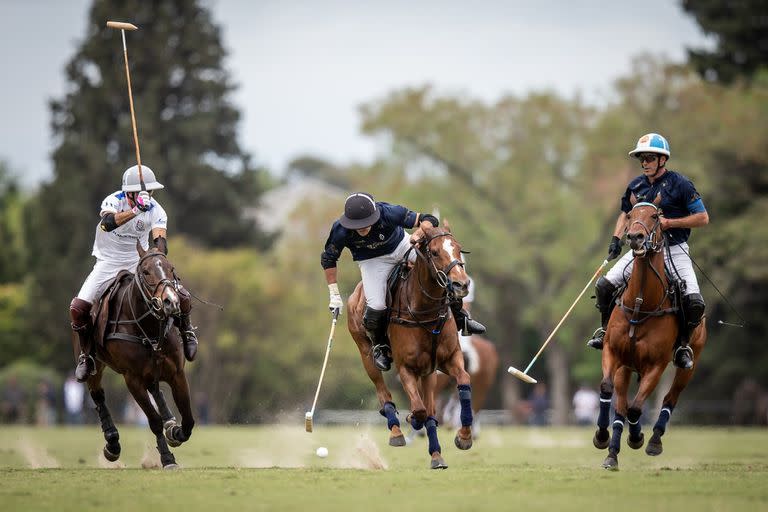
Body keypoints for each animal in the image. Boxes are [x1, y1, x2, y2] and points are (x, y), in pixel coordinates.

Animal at [76, 244, 195, 468]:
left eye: (170, 268)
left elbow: (188, 418)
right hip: (94, 362)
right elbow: (154, 421)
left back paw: (169, 421)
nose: (171, 302)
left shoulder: (177, 373)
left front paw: (174, 432)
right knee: (98, 395)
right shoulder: (132, 379)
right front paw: (167, 459)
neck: (149, 328)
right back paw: (112, 444)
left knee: (156, 390)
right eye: (146, 271)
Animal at [348, 226, 474, 470]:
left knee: (431, 409)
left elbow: (463, 382)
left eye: (457, 248)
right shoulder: (406, 368)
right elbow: (419, 409)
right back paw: (396, 430)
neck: (426, 311)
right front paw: (411, 419)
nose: (461, 284)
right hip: (365, 353)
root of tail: (357, 292)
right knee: (383, 390)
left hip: (428, 372)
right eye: (434, 252)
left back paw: (436, 455)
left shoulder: (449, 359)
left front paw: (464, 437)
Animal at [592, 202, 708, 470]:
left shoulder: (657, 364)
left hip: (690, 362)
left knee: (670, 398)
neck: (641, 303)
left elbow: (636, 409)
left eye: (655, 216)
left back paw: (654, 440)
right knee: (620, 408)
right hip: (626, 367)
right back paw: (612, 454)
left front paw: (637, 438)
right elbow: (607, 390)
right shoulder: (613, 352)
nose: (635, 237)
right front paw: (602, 437)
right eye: (630, 215)